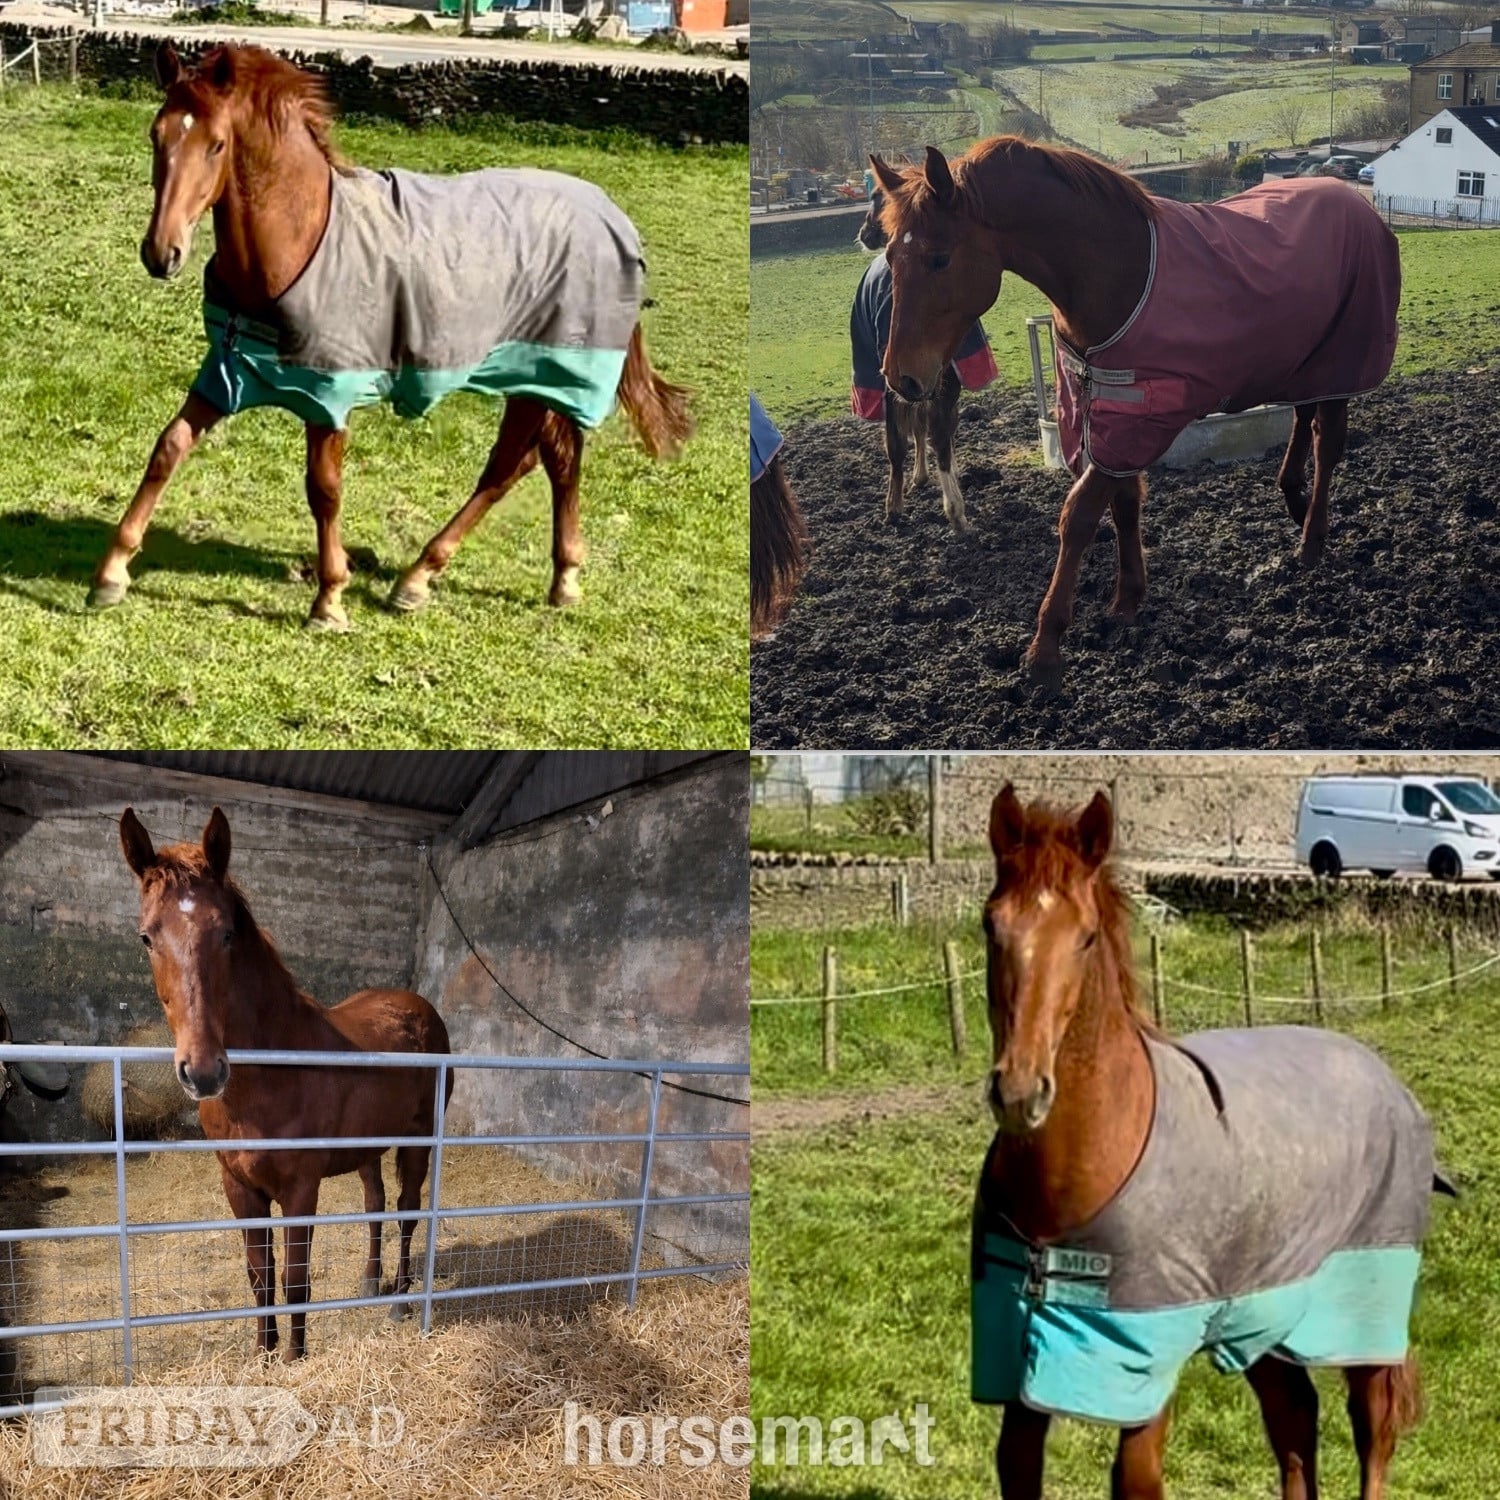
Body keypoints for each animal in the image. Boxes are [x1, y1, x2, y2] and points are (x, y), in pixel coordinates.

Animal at [91, 42, 693, 629]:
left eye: (217, 144)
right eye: (156, 135)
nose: (161, 252)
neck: (297, 241)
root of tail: (612, 216)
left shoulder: (327, 394)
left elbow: (324, 488)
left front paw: (329, 600)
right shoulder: (227, 374)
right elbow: (168, 447)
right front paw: (112, 572)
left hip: (543, 373)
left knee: (508, 467)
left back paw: (421, 578)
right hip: (538, 380)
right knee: (552, 461)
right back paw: (554, 578)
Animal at [118, 805, 453, 1361]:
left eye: (226, 933)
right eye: (147, 937)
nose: (203, 1071)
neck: (267, 1079)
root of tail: (419, 1006)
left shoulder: (300, 1189)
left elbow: (295, 1281)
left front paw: (294, 1360)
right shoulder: (240, 1188)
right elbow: (261, 1278)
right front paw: (265, 1355)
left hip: (417, 1141)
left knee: (407, 1211)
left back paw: (401, 1301)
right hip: (369, 1148)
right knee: (375, 1204)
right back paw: (370, 1282)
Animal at [853, 189, 998, 533]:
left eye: (875, 198)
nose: (865, 233)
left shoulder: (917, 383)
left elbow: (919, 436)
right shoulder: (916, 384)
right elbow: (922, 436)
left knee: (915, 436)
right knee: (929, 432)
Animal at [871, 141, 1400, 682]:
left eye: (939, 259)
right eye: (889, 255)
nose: (899, 377)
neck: (1115, 273)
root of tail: (1353, 199)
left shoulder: (1137, 419)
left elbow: (1079, 516)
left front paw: (1046, 646)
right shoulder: (1108, 416)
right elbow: (1124, 505)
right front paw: (1127, 599)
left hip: (1341, 363)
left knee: (1327, 444)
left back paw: (1312, 540)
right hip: (1304, 363)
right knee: (1302, 420)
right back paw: (1293, 498)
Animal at [975, 783, 1450, 1500]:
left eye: (1086, 938)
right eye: (990, 925)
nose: (1021, 1091)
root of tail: (1383, 1075)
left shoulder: (1146, 1357)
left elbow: (1137, 1479)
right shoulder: (1023, 1361)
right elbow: (1017, 1465)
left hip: (1362, 1310)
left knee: (1373, 1429)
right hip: (1267, 1312)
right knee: (1294, 1419)